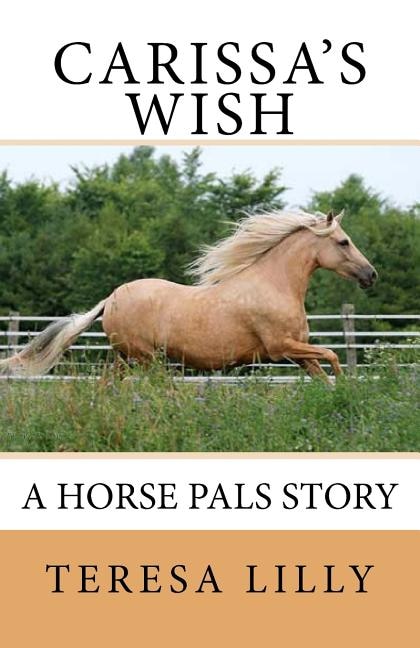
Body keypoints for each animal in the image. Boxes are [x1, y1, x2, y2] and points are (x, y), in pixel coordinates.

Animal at [0, 209, 377, 382]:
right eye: (343, 242)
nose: (371, 274)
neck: (274, 284)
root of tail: (110, 299)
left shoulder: (297, 353)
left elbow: (323, 373)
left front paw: (342, 392)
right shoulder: (281, 348)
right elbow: (332, 356)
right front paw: (349, 386)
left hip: (124, 358)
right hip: (146, 359)